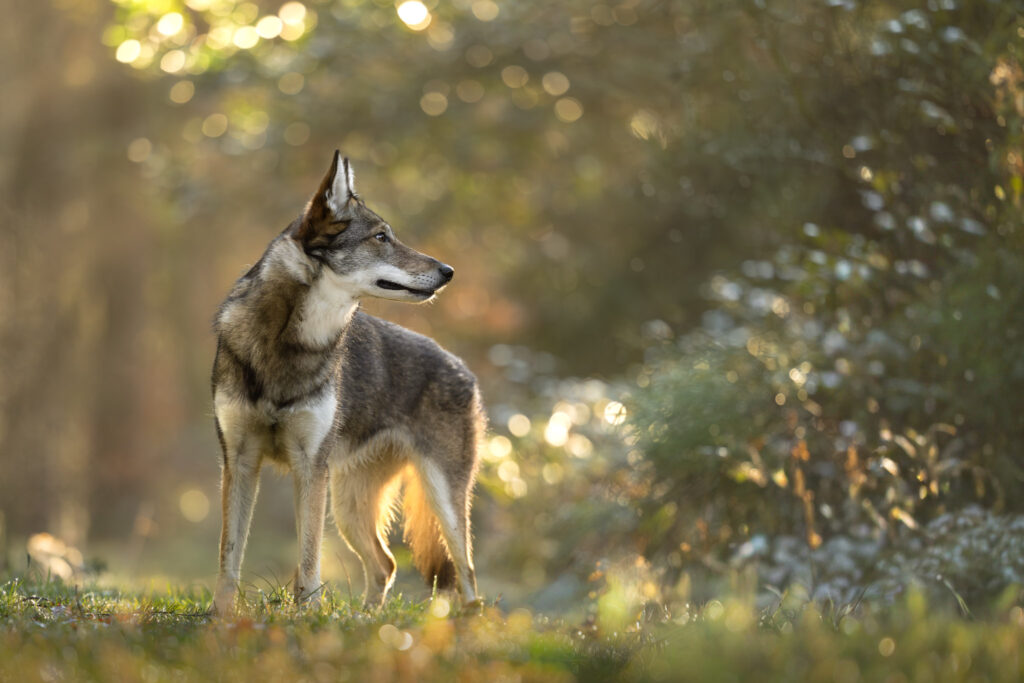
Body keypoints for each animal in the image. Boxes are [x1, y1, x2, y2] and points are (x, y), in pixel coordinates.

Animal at [210, 151, 482, 614]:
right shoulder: (240, 462)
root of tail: (462, 367)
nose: (449, 271)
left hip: (441, 501)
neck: (289, 344)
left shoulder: (310, 468)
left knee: (465, 575)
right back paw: (368, 621)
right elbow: (230, 558)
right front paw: (221, 618)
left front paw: (306, 616)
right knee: (386, 564)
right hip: (348, 507)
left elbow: (308, 560)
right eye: (381, 237)